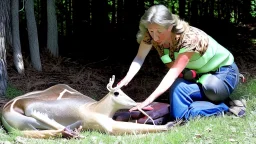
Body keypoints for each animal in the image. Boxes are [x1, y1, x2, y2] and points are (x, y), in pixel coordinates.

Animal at [1, 75, 178, 138]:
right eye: (117, 93)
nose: (135, 103)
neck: (97, 108)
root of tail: (5, 110)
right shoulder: (106, 125)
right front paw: (171, 124)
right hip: (33, 112)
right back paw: (73, 132)